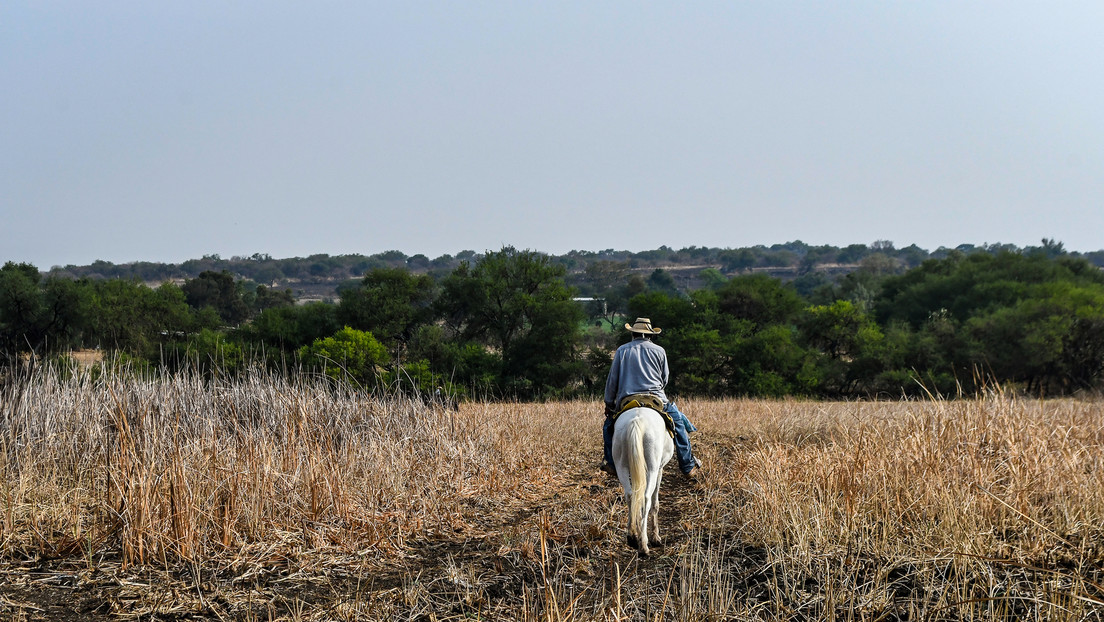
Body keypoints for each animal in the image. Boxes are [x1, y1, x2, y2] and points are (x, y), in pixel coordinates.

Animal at [613, 406, 671, 556]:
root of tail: (637, 420)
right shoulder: (660, 469)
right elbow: (655, 503)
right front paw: (655, 537)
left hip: (621, 465)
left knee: (630, 495)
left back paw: (632, 536)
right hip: (652, 468)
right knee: (646, 499)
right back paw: (644, 544)